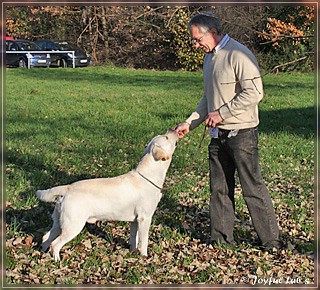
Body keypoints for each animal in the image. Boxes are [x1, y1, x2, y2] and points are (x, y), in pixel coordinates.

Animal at [37, 129, 180, 260]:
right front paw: (144, 257)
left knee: (46, 237)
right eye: (167, 137)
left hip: (59, 222)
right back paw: (57, 260)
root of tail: (67, 188)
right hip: (73, 225)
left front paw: (132, 252)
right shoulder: (145, 218)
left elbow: (133, 238)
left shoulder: (134, 220)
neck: (149, 176)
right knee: (55, 244)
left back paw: (43, 254)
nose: (174, 129)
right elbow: (143, 240)